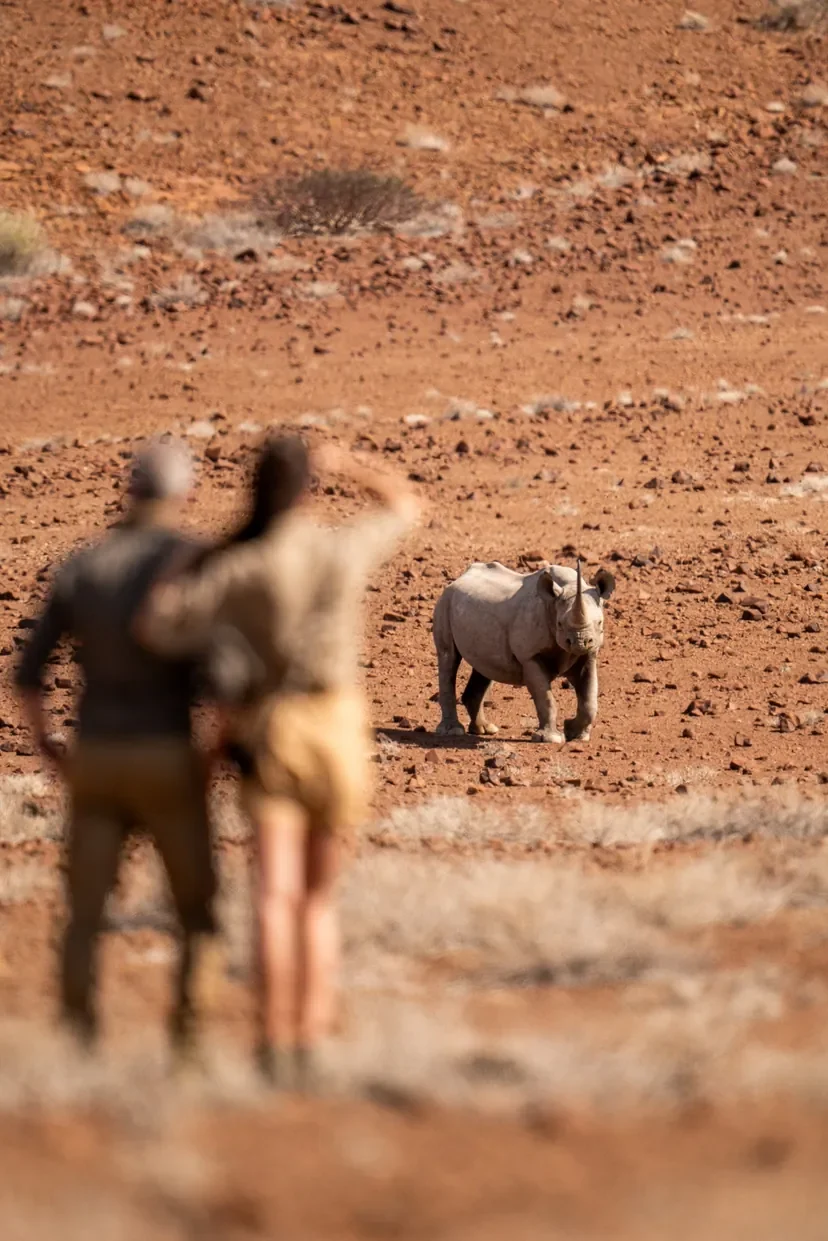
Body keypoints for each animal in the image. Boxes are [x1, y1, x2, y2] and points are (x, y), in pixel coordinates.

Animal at [432, 559, 615, 743]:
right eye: (560, 624)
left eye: (600, 623)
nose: (580, 642)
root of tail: (458, 579)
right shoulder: (530, 657)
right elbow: (545, 698)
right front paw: (551, 739)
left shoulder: (589, 655)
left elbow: (589, 700)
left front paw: (576, 734)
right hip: (445, 602)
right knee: (449, 658)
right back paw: (453, 731)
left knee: (483, 667)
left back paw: (484, 730)